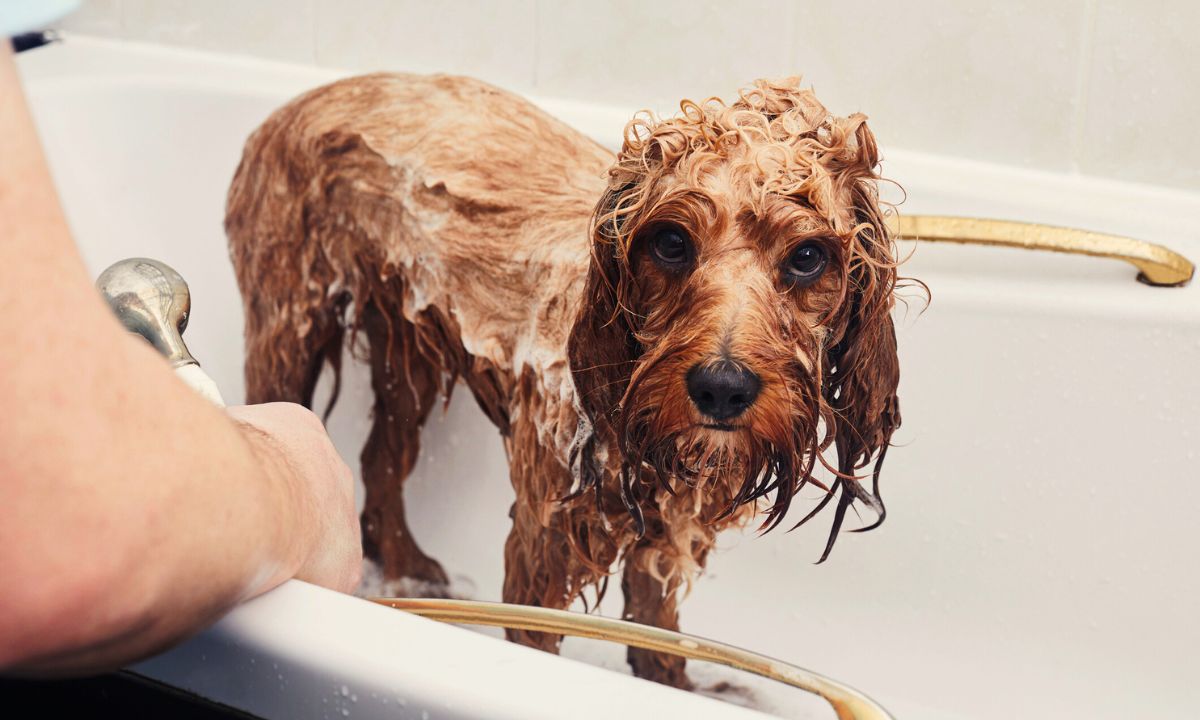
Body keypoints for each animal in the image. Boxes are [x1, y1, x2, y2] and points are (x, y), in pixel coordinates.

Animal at [225, 73, 902, 686]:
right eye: (670, 243)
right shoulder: (544, 545)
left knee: (380, 458)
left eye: (808, 257)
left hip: (405, 347)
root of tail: (299, 98)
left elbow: (659, 645)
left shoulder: (664, 540)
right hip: (289, 323)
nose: (722, 387)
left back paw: (409, 566)